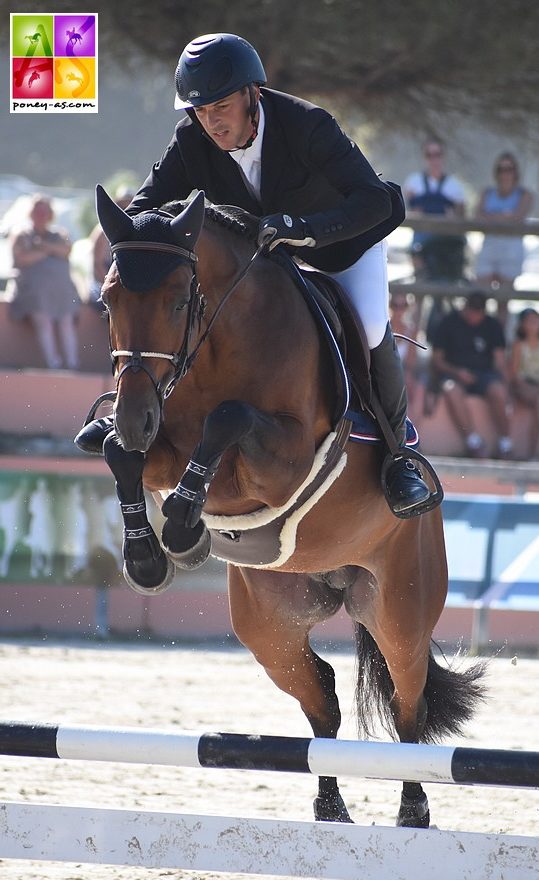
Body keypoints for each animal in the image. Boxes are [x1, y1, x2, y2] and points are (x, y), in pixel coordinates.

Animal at [89, 186, 486, 832]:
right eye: (106, 302)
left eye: (179, 301)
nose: (135, 415)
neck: (217, 342)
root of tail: (336, 579)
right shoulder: (158, 441)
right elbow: (117, 452)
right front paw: (150, 556)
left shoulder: (289, 456)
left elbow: (228, 419)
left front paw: (183, 527)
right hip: (270, 627)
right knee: (321, 700)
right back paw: (330, 809)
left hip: (399, 605)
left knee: (408, 702)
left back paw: (412, 809)